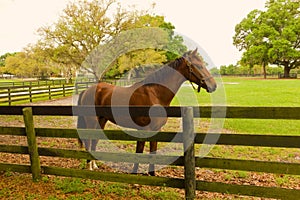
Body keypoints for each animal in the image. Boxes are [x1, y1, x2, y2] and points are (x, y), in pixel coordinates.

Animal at [77, 48, 217, 175]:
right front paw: (136, 173)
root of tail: (87, 90)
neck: (155, 94)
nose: (213, 85)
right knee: (88, 141)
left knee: (94, 140)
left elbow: (152, 151)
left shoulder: (156, 130)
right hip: (91, 121)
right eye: (198, 65)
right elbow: (140, 151)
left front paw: (152, 174)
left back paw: (94, 165)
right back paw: (89, 167)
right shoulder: (145, 130)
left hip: (101, 120)